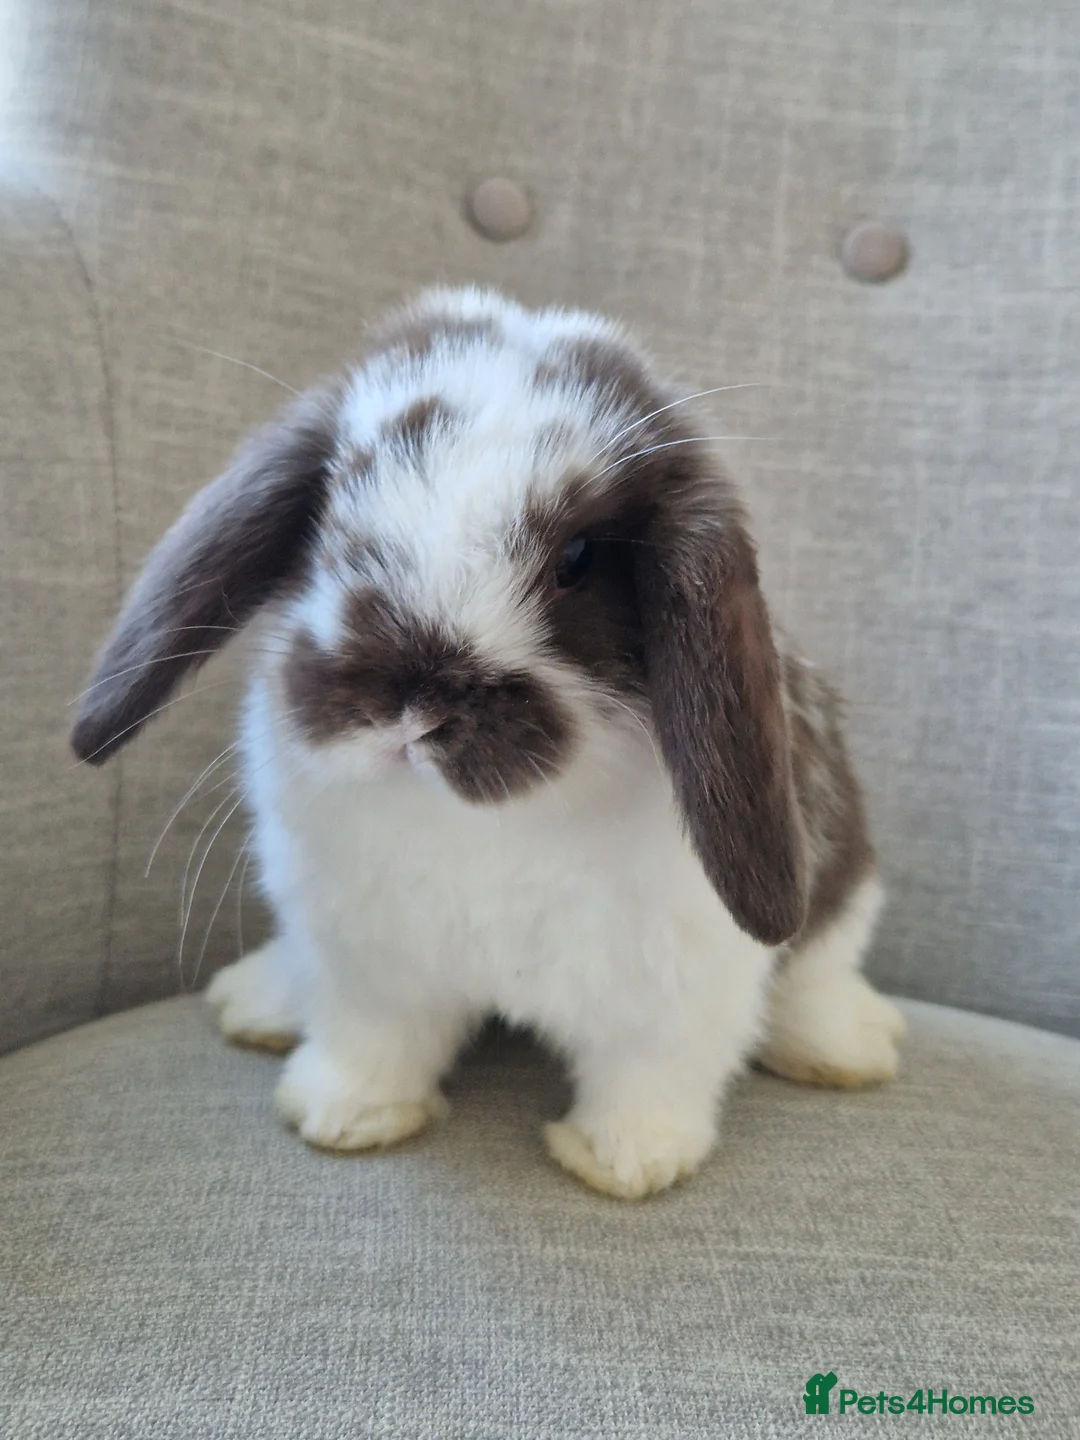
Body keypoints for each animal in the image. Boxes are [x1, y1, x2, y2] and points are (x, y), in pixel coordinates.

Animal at [71, 286, 905, 1199]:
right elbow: (374, 1039)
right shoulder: (373, 962)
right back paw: (256, 1001)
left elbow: (653, 1073)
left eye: (577, 557)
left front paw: (626, 1162)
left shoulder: (676, 988)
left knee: (820, 973)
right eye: (336, 509)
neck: (488, 826)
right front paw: (345, 1115)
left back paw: (851, 1048)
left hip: (842, 893)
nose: (413, 704)